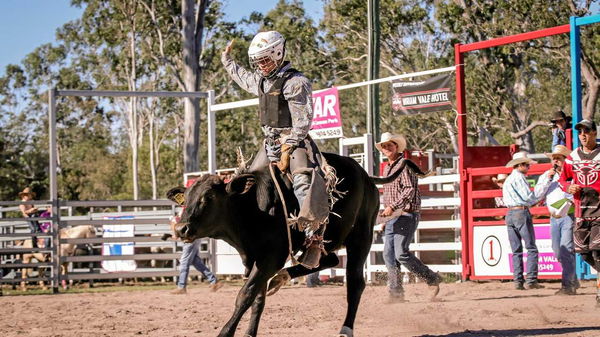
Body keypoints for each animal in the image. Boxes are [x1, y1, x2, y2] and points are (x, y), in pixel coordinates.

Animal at [168, 153, 422, 336]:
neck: (252, 207)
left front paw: (225, 333)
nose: (181, 229)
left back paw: (346, 329)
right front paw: (249, 333)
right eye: (186, 198)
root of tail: (367, 176)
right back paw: (282, 277)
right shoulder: (257, 260)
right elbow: (257, 298)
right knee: (328, 260)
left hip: (361, 236)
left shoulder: (270, 258)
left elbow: (245, 295)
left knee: (355, 284)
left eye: (208, 198)